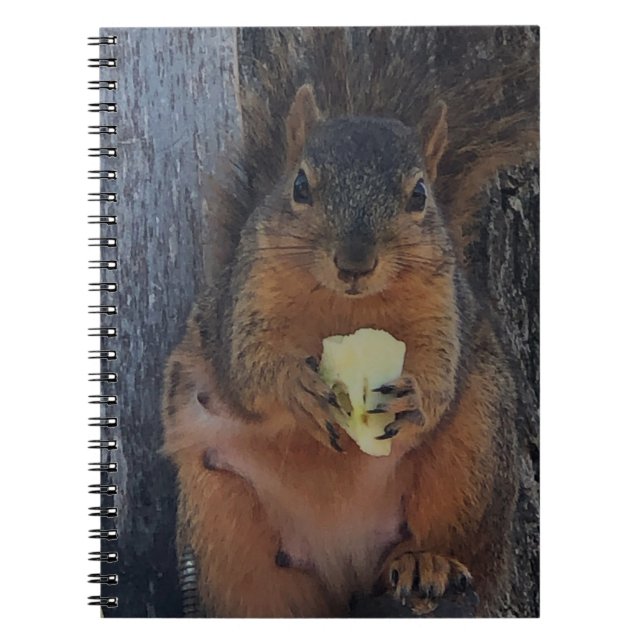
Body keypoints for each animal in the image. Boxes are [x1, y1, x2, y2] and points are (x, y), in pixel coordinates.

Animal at [162, 27, 538, 617]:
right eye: (299, 186)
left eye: (419, 195)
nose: (355, 262)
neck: (346, 308)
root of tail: (344, 566)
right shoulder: (243, 303)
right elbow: (249, 371)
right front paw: (295, 386)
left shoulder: (444, 309)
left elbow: (439, 372)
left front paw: (414, 395)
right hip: (222, 513)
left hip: (473, 456)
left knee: (453, 541)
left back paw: (426, 563)